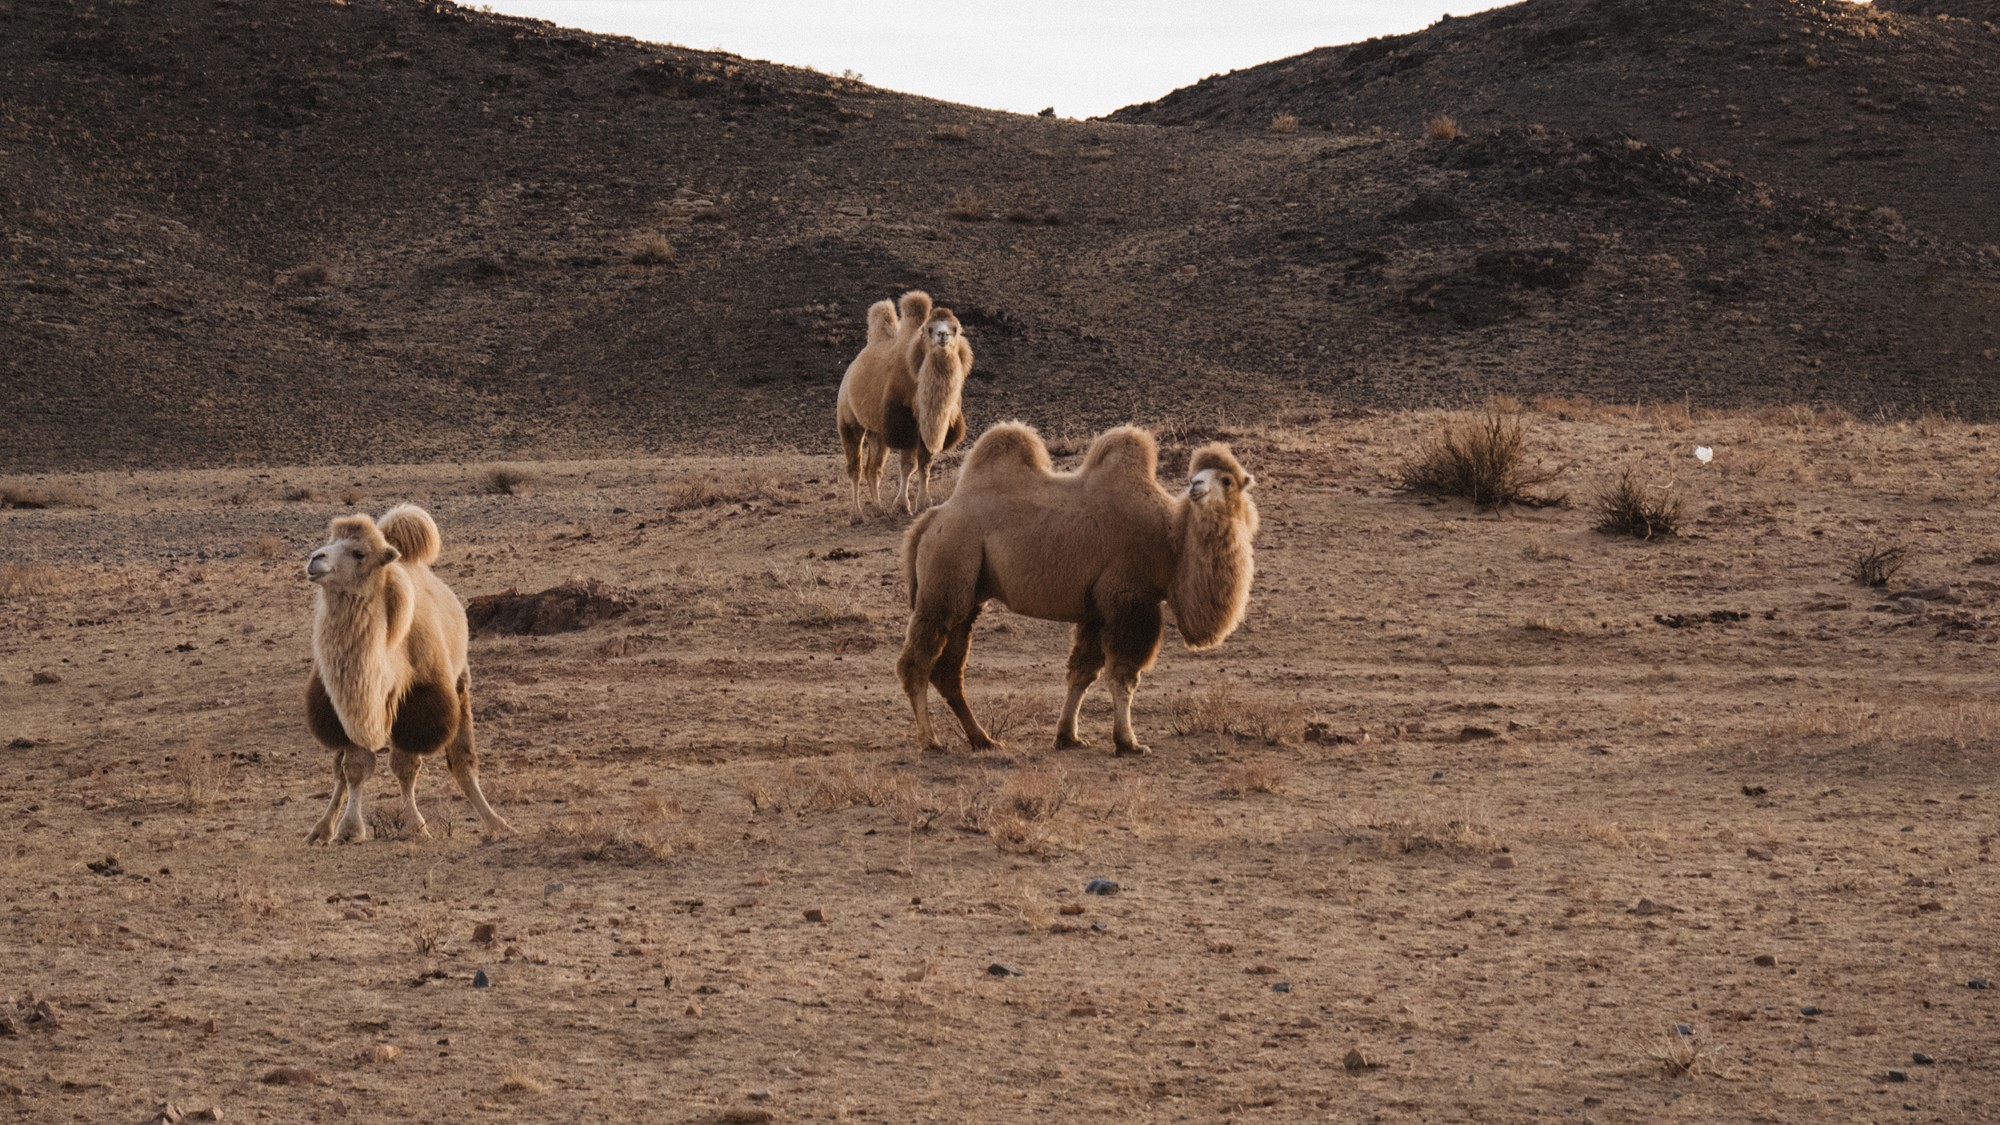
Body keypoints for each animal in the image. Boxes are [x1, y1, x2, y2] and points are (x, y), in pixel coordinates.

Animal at [302, 500, 512, 840]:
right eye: (330, 541)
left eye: (359, 553)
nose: (315, 559)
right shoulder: (348, 705)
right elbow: (355, 768)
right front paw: (349, 829)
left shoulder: (418, 705)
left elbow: (405, 767)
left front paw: (415, 826)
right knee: (338, 772)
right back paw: (321, 829)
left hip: (459, 686)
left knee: (462, 760)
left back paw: (496, 822)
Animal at [836, 286, 976, 520]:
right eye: (929, 329)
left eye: (955, 328)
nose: (943, 335)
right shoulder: (905, 424)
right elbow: (908, 465)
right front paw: (902, 505)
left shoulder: (931, 426)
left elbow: (925, 465)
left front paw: (924, 503)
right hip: (849, 419)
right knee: (855, 466)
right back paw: (856, 514)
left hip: (877, 432)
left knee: (873, 468)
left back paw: (878, 507)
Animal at [900, 420, 1256, 752]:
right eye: (1196, 475)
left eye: (1227, 479)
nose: (1196, 486)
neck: (1170, 540)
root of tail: (929, 520)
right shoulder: (1128, 599)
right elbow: (1123, 677)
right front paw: (1128, 742)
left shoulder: (1097, 611)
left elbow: (1082, 673)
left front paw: (1068, 736)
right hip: (945, 573)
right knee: (916, 662)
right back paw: (930, 740)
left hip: (969, 595)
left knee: (948, 670)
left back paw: (982, 739)